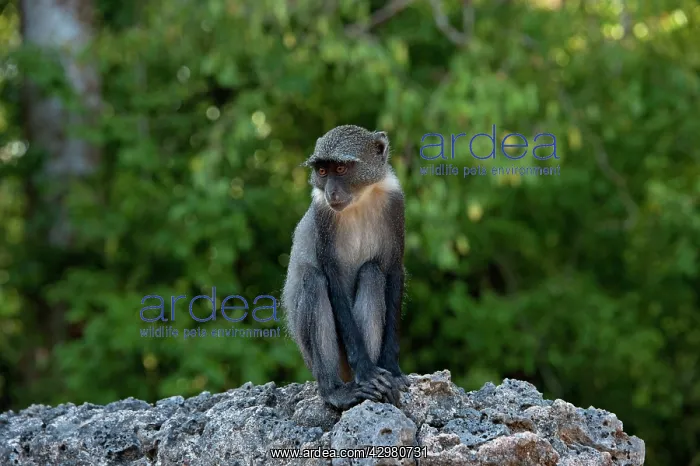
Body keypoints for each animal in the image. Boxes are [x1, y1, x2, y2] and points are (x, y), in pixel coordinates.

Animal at [282, 125, 410, 410]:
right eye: (322, 171)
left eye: (340, 169)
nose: (331, 192)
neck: (359, 199)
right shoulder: (323, 216)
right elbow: (333, 280)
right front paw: (367, 371)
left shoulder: (395, 205)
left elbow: (393, 272)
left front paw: (392, 370)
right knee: (314, 280)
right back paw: (336, 390)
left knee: (371, 272)